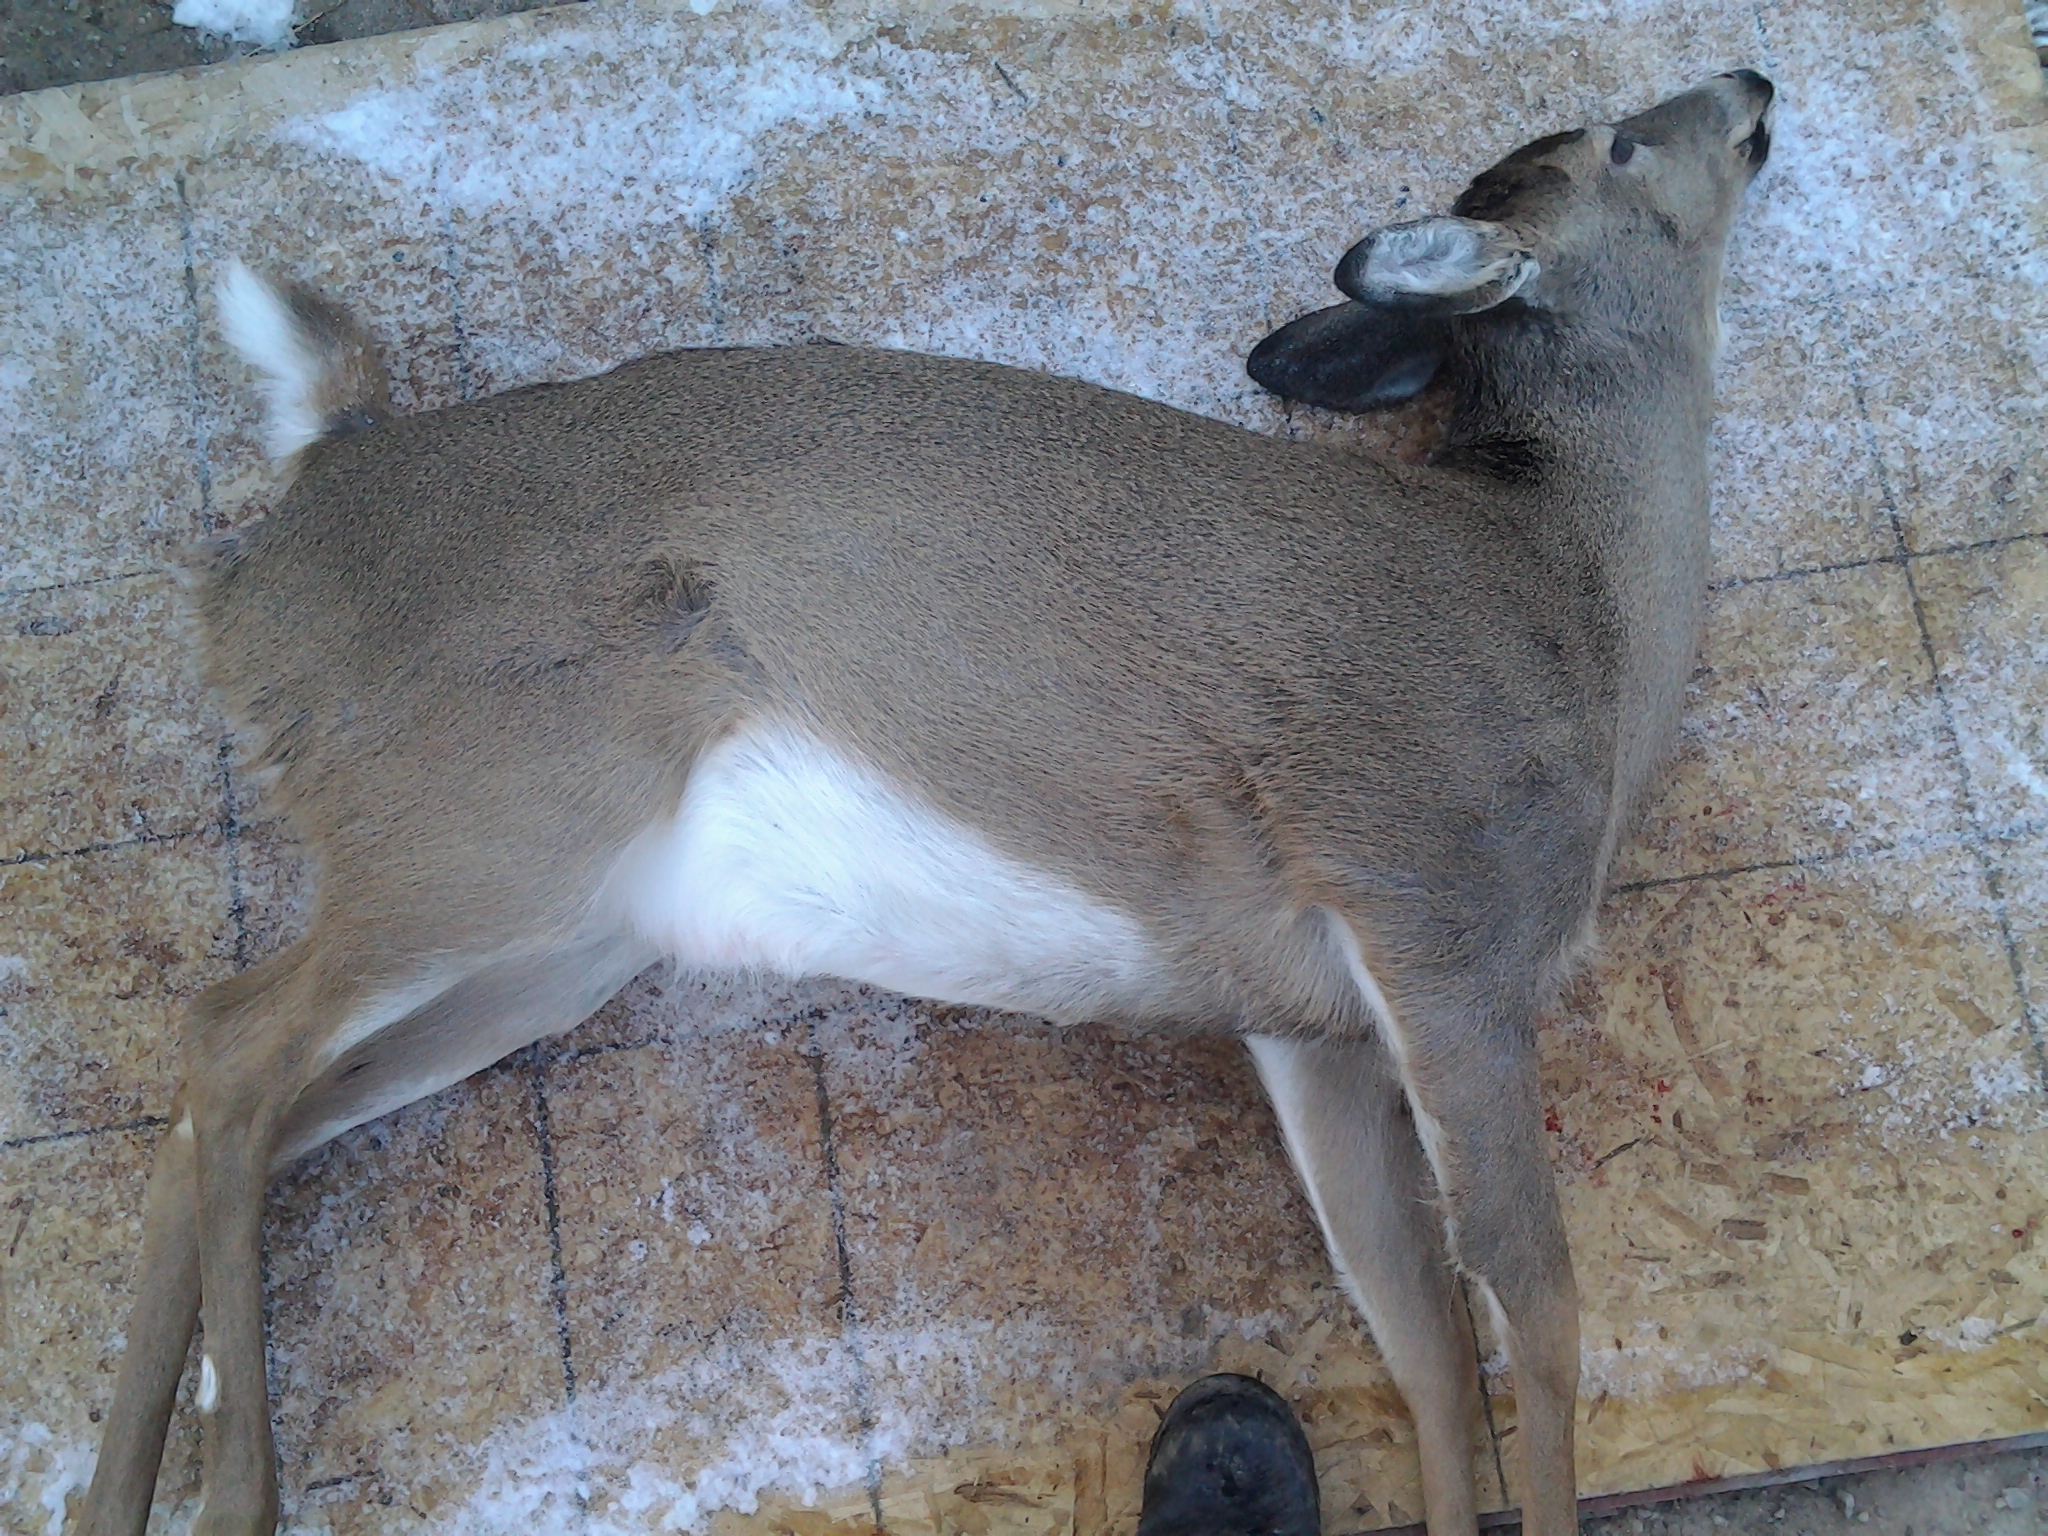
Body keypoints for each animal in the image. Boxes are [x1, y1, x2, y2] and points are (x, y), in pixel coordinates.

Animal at [77, 70, 1774, 1536]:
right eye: (1623, 139)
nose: (1757, 88)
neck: (1573, 602)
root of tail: (299, 502)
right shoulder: (1434, 903)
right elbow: (1537, 1314)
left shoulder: (1317, 1029)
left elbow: (1417, 1338)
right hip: (490, 812)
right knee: (225, 1042)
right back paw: (236, 1500)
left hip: (559, 936)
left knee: (243, 1113)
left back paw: (118, 1498)